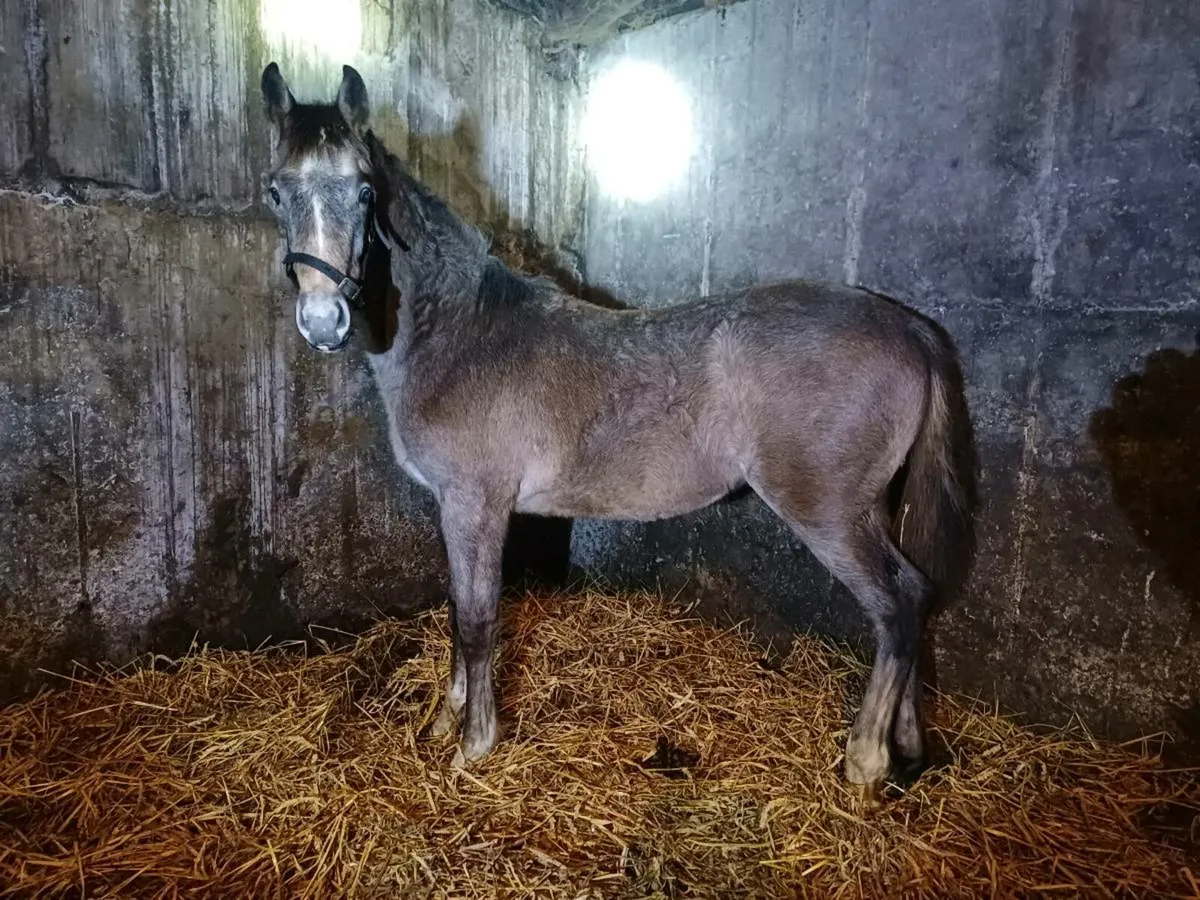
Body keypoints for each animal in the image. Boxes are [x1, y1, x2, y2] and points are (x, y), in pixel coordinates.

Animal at [258, 62, 975, 800]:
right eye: (276, 190)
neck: (462, 335)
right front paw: (442, 722)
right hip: (870, 507)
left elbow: (479, 616)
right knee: (916, 595)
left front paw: (473, 746)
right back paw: (909, 747)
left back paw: (866, 762)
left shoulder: (477, 504)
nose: (323, 321)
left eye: (364, 190)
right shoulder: (452, 507)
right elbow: (457, 612)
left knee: (895, 605)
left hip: (828, 512)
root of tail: (909, 328)